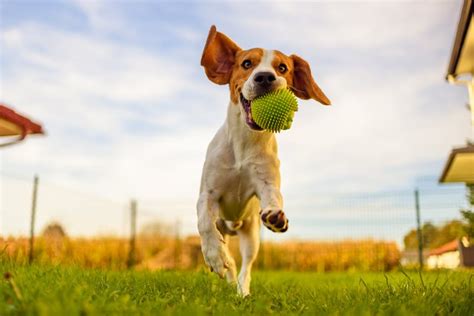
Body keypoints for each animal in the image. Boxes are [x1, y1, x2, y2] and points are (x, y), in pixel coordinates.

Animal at [196, 25, 330, 296]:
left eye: (283, 68)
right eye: (247, 63)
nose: (265, 77)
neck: (244, 143)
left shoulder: (266, 183)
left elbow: (274, 197)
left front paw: (277, 216)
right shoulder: (208, 194)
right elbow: (204, 222)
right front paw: (215, 256)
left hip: (251, 236)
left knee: (245, 267)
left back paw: (242, 291)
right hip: (225, 225)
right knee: (229, 255)